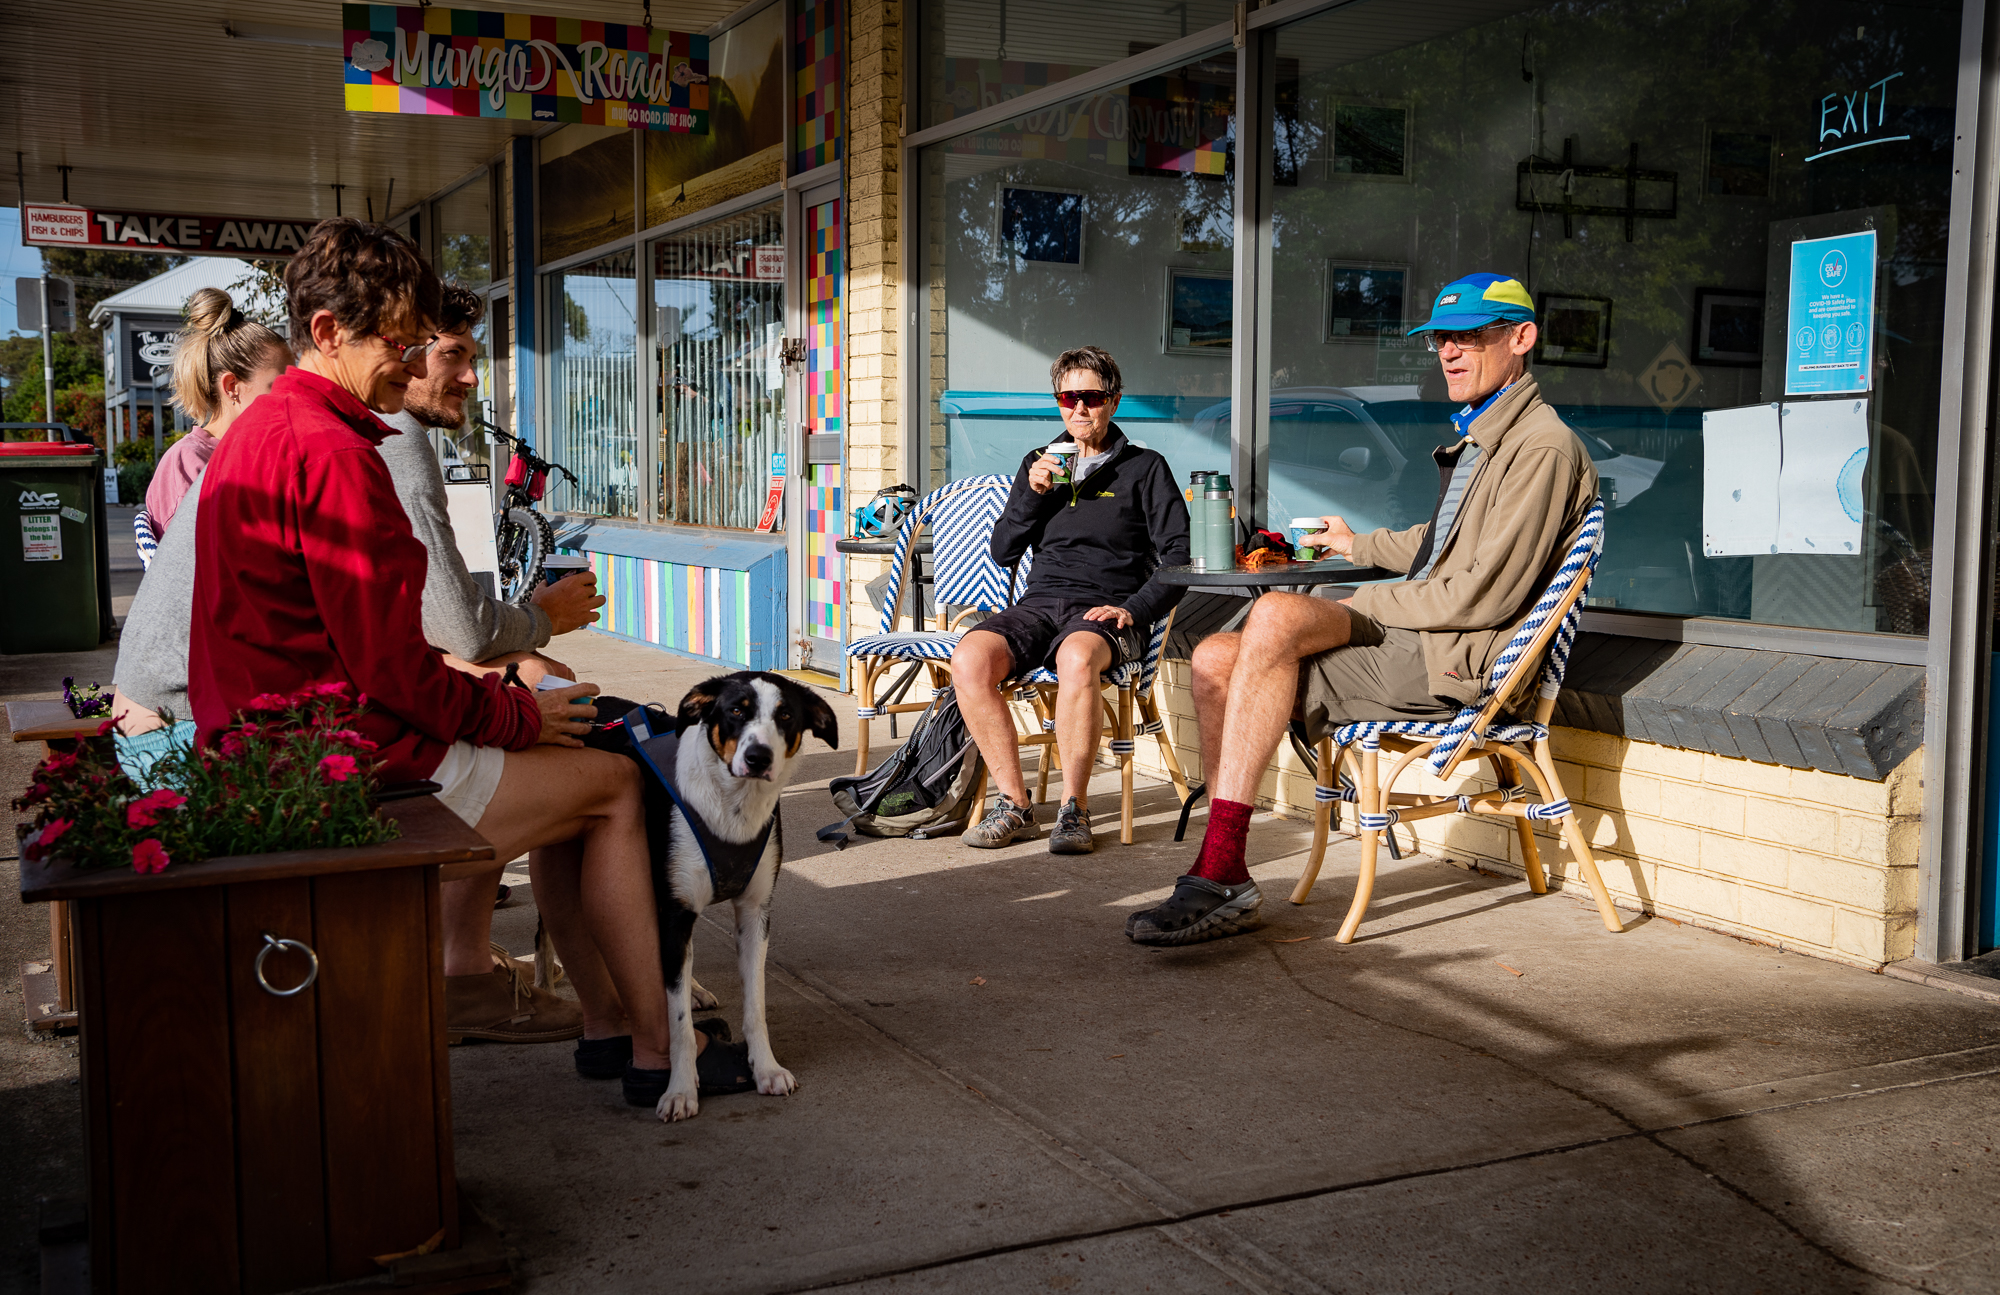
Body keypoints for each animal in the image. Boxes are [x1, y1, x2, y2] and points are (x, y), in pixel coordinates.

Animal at [628, 671, 840, 1119]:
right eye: (736, 711)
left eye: (786, 715)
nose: (758, 757)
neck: (733, 808)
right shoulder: (676, 911)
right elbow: (677, 1023)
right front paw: (679, 1089)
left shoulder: (755, 914)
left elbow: (755, 1005)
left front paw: (766, 1069)